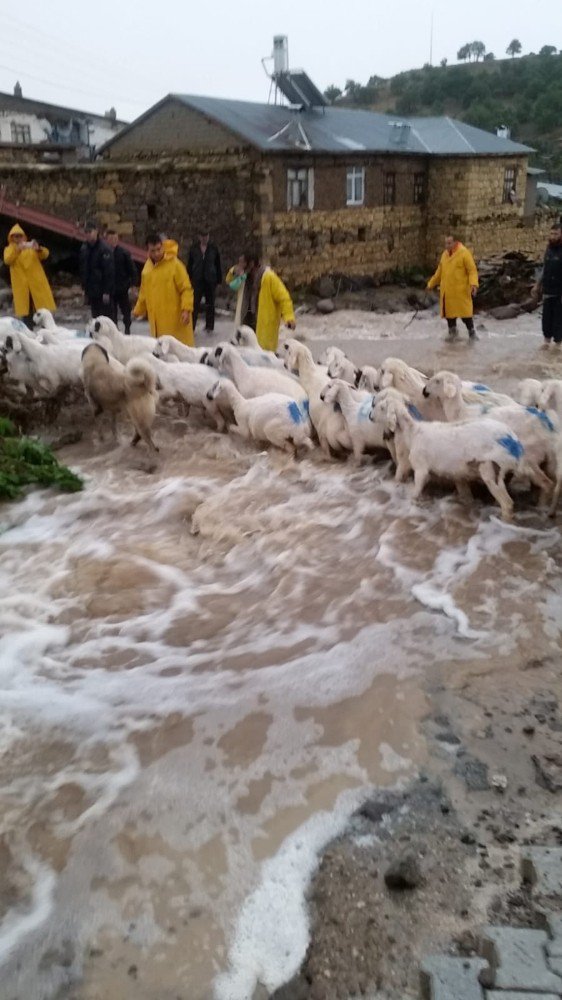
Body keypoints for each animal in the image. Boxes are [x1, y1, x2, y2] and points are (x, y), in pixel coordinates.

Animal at [370, 388, 524, 524]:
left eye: (382, 407)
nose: (370, 416)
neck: (413, 433)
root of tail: (513, 443)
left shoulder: (421, 469)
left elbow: (416, 492)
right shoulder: (458, 474)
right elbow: (465, 494)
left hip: (491, 468)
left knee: (507, 503)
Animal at [422, 372, 552, 504]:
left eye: (437, 381)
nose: (424, 391)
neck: (461, 411)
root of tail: (545, 425)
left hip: (529, 458)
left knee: (546, 483)